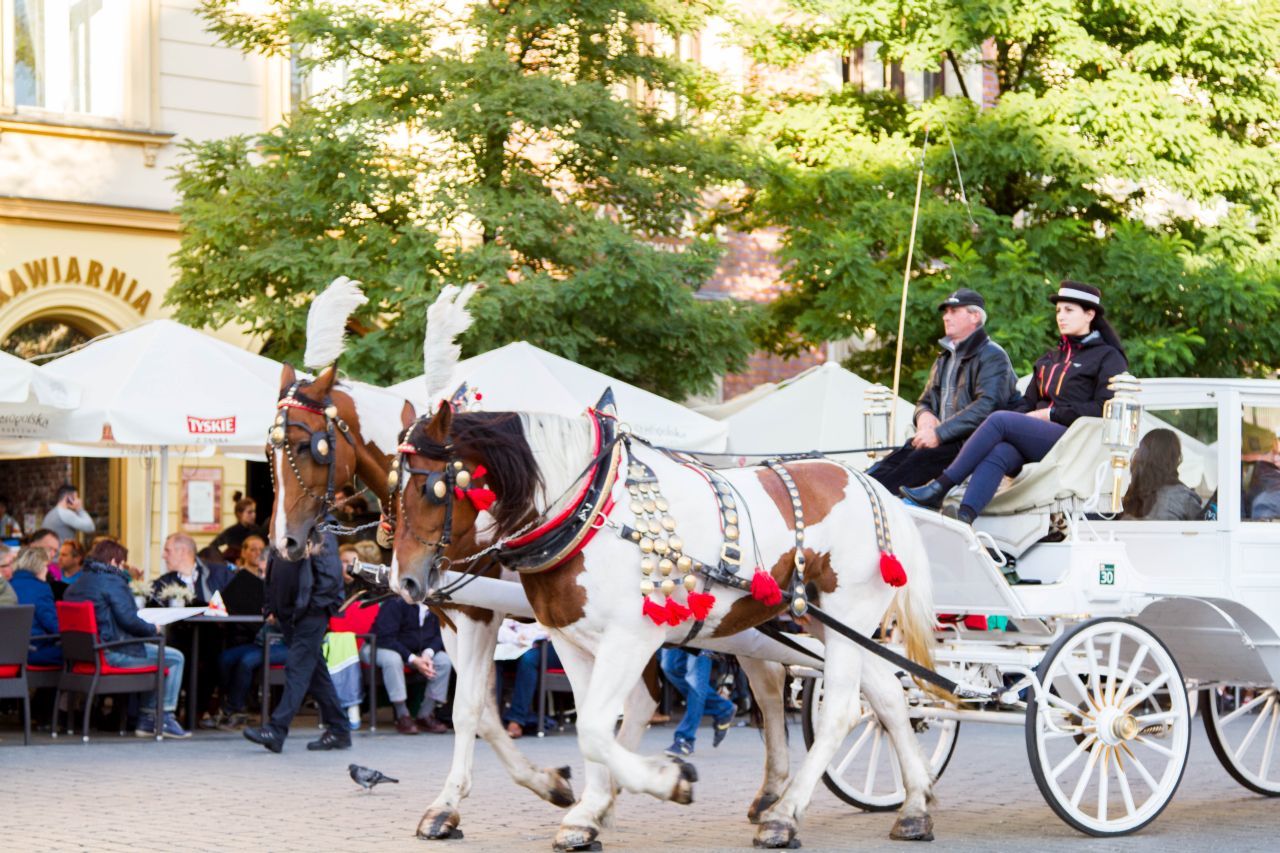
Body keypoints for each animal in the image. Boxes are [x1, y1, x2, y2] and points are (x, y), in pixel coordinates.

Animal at [390, 401, 941, 849]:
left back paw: (784, 815)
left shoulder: (630, 637)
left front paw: (663, 782)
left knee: (840, 711)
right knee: (888, 698)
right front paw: (588, 812)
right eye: (392, 490)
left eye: (434, 488)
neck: (591, 511)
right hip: (827, 623)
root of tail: (872, 485)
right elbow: (582, 725)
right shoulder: (570, 640)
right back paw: (914, 807)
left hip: (848, 614)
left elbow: (593, 726)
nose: (406, 582)